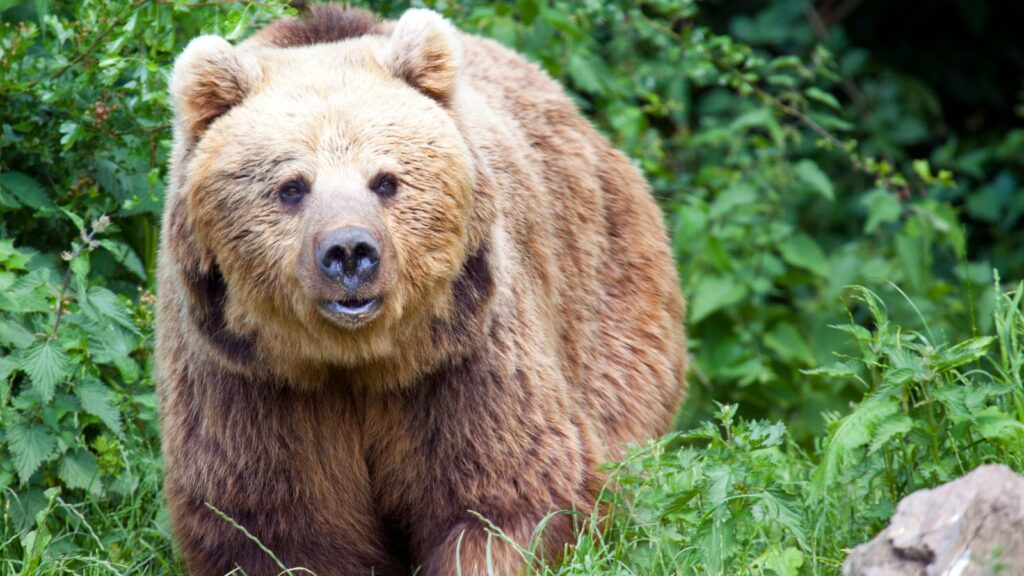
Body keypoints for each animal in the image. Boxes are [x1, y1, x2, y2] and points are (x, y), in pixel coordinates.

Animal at [155, 5, 688, 573]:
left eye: (386, 180)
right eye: (292, 187)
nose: (350, 252)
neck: (356, 361)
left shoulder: (461, 363)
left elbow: (505, 494)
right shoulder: (249, 387)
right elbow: (273, 527)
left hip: (611, 296)